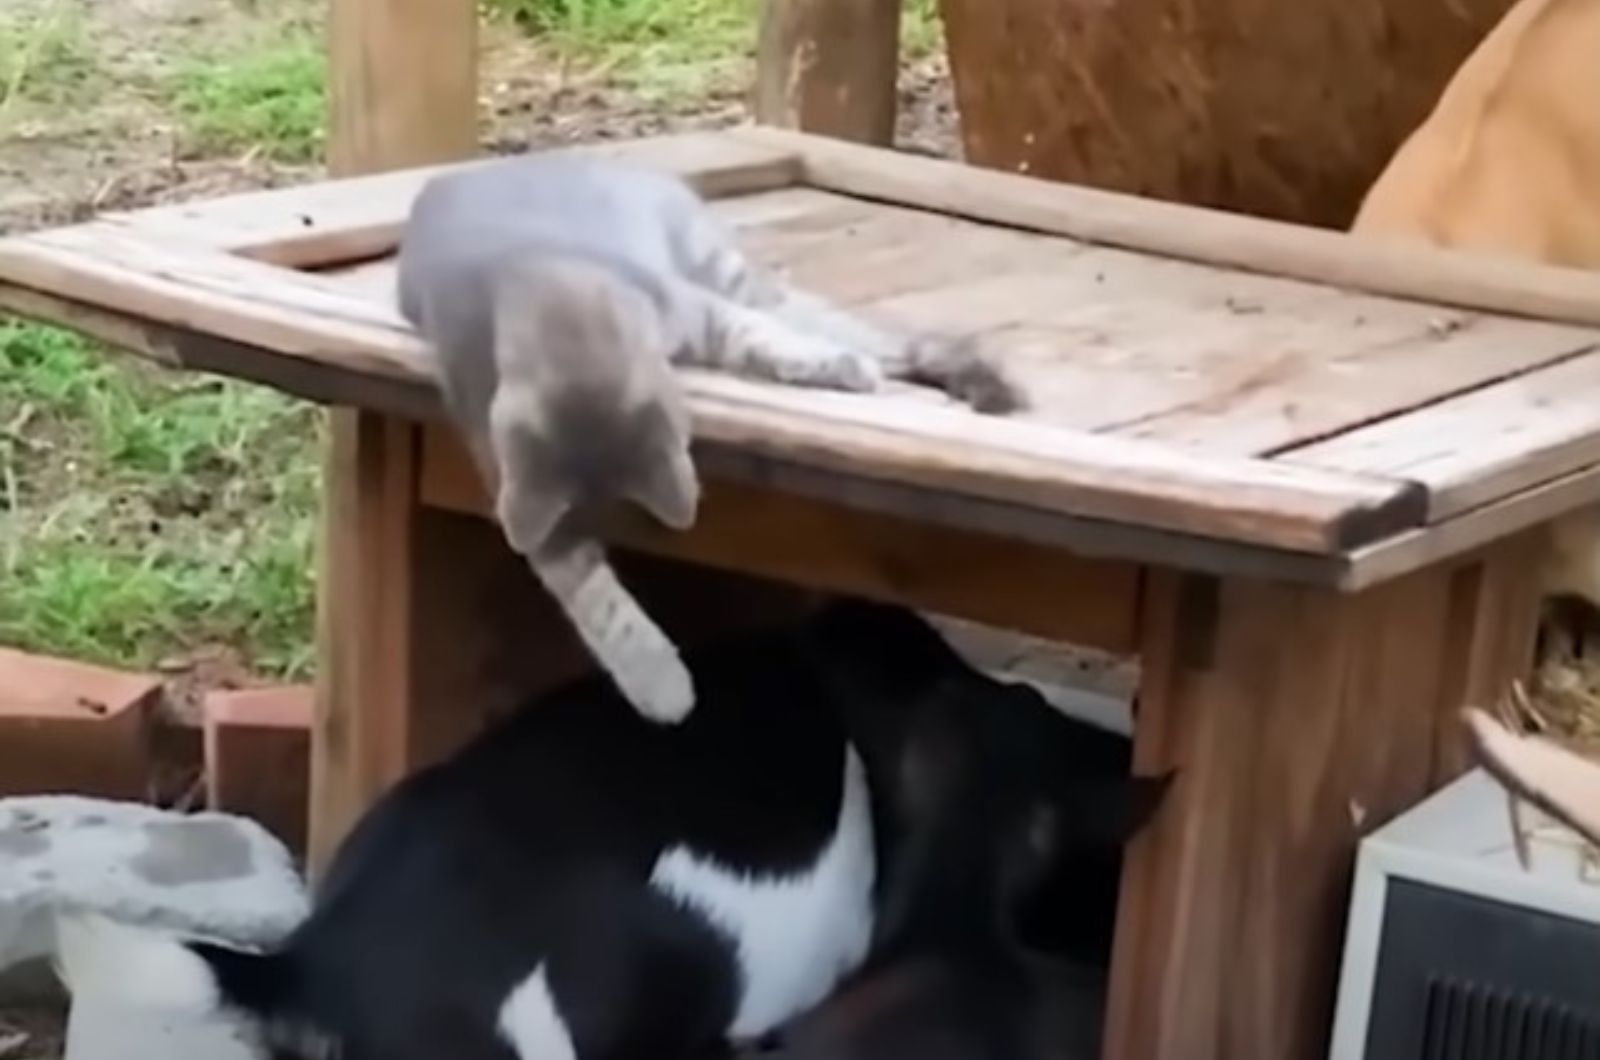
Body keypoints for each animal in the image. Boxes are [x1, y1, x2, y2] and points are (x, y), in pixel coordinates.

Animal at [395, 151, 1017, 730]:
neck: (547, 290)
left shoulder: (703, 311)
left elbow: (768, 341)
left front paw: (835, 367)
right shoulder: (516, 481)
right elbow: (593, 597)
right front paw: (659, 683)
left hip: (724, 269)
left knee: (832, 325)